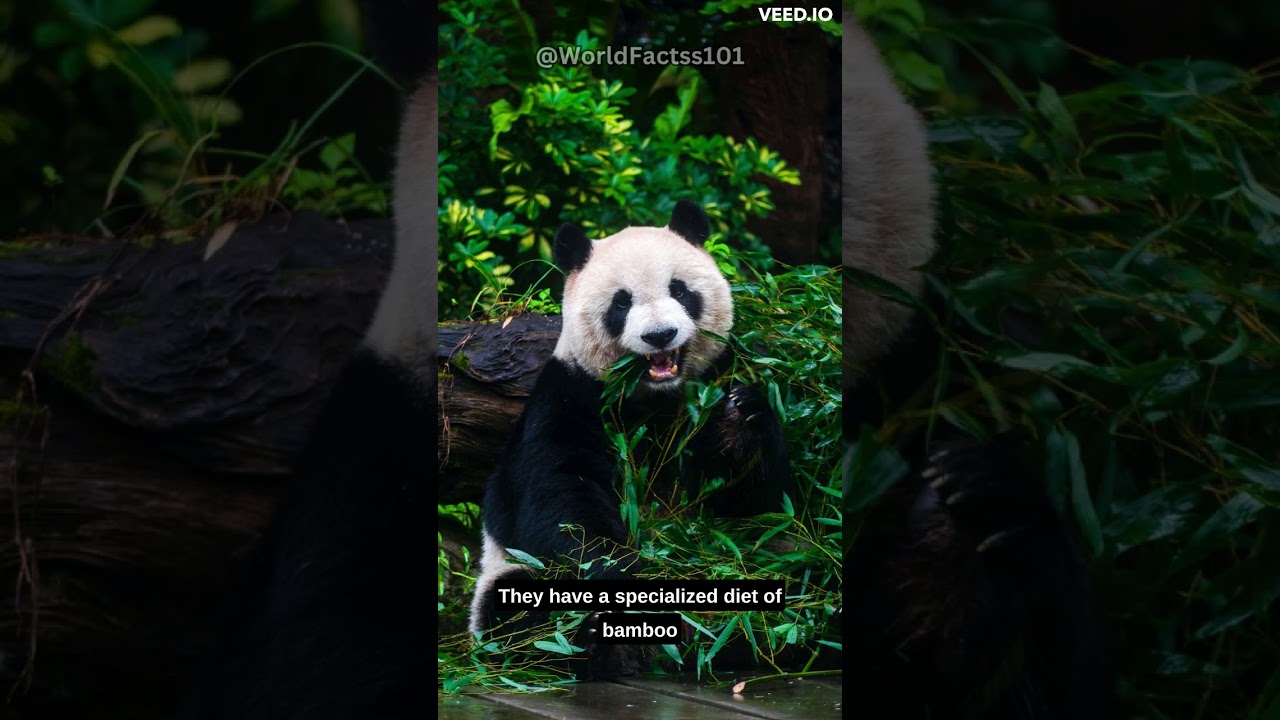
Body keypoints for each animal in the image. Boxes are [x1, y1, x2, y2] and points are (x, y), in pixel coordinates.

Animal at [466, 200, 794, 678]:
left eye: (680, 290)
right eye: (621, 303)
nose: (660, 335)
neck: (654, 398)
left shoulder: (705, 393)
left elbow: (754, 503)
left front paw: (741, 414)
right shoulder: (570, 400)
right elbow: (564, 504)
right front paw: (637, 588)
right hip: (505, 573)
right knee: (515, 605)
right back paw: (595, 641)